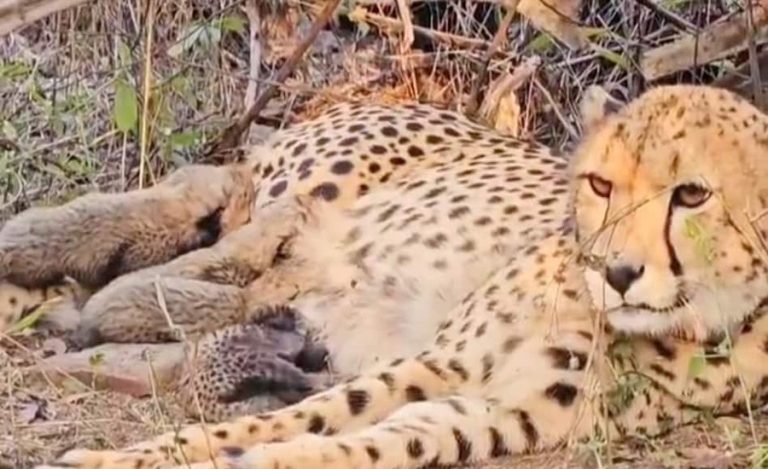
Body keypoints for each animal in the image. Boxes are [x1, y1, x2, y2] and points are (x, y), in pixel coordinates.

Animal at [36, 84, 768, 469]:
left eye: (692, 195)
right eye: (600, 184)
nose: (615, 270)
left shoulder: (498, 411)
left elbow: (370, 440)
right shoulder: (440, 361)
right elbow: (293, 417)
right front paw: (116, 458)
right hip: (316, 188)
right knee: (218, 206)